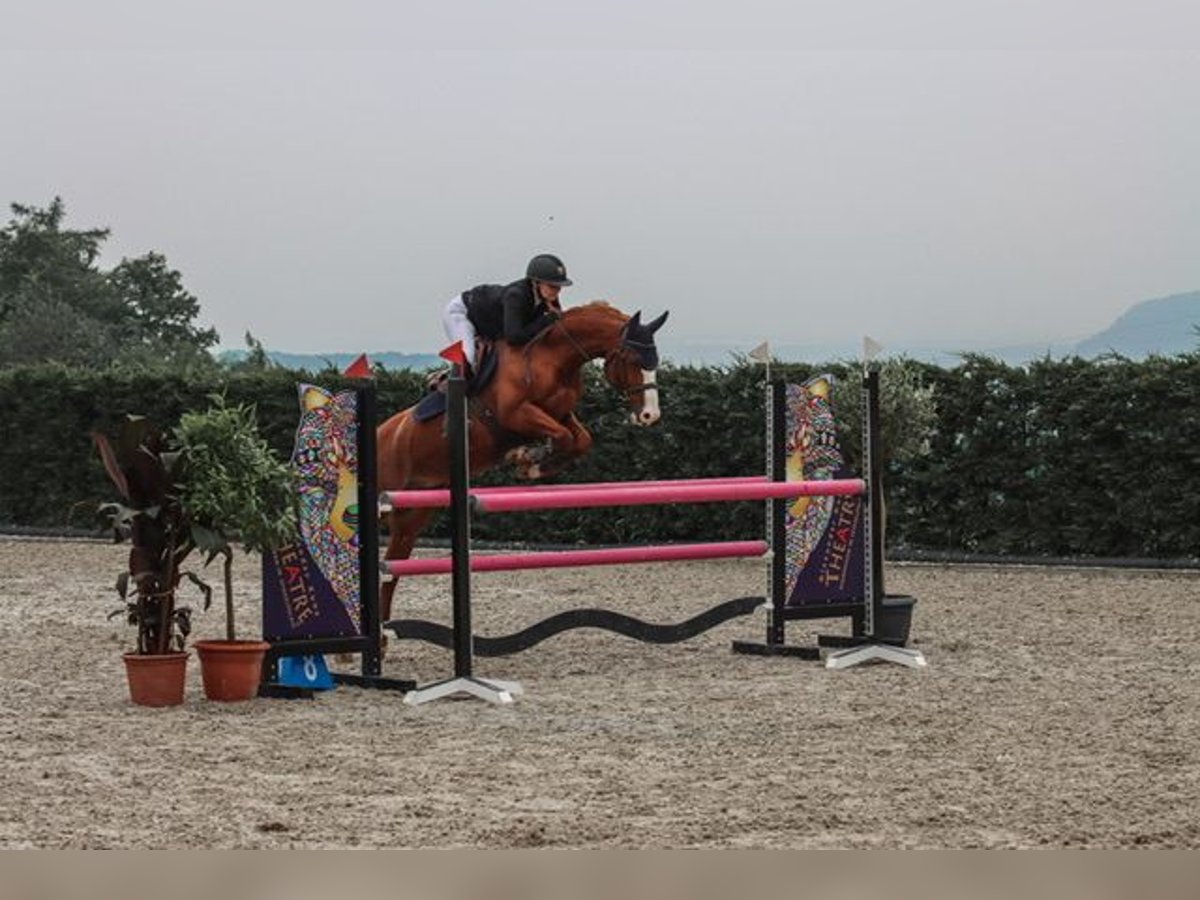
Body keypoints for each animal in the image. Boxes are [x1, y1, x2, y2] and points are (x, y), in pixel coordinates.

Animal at [376, 301, 667, 619]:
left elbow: (579, 440)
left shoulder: (560, 414)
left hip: (414, 513)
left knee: (392, 568)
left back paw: (384, 624)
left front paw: (532, 462)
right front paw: (529, 460)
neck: (553, 358)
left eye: (655, 361)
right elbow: (563, 436)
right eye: (632, 359)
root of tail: (381, 433)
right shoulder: (516, 414)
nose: (650, 416)